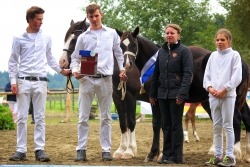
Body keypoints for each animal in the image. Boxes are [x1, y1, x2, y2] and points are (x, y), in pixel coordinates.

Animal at [115, 26, 250, 163]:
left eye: (134, 44)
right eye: (121, 45)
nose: (127, 64)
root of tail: (241, 62)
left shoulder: (150, 100)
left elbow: (156, 124)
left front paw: (152, 153)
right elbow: (154, 124)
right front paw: (156, 153)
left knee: (236, 119)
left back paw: (235, 153)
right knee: (245, 118)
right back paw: (246, 155)